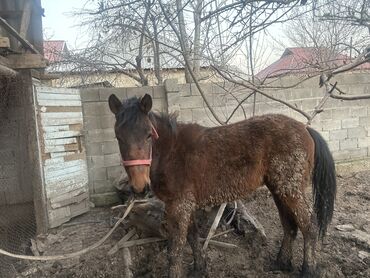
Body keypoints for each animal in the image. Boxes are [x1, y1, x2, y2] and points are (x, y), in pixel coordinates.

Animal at [108, 94, 336, 278]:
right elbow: (193, 237)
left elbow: (175, 249)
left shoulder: (179, 206)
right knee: (290, 226)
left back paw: (308, 270)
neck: (172, 152)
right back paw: (281, 264)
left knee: (309, 226)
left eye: (149, 134)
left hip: (290, 190)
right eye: (118, 136)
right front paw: (199, 269)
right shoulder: (187, 205)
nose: (139, 187)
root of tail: (305, 128)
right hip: (279, 190)